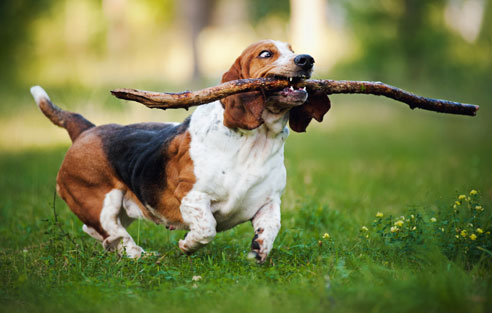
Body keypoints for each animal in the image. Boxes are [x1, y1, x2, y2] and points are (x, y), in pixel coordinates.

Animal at [30, 40, 330, 262]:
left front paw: (259, 249)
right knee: (110, 230)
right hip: (102, 199)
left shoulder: (269, 201)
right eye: (266, 54)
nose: (306, 59)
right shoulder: (192, 196)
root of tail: (85, 130)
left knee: (98, 232)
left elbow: (272, 227)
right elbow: (207, 228)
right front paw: (187, 245)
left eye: (293, 49)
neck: (257, 140)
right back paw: (137, 254)